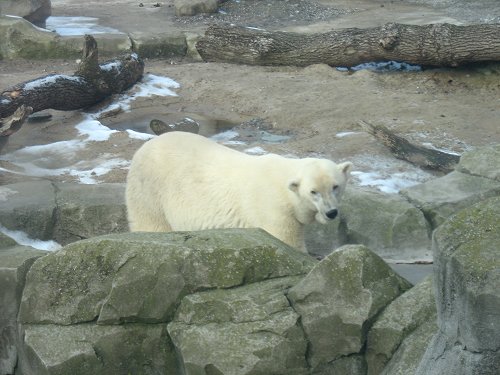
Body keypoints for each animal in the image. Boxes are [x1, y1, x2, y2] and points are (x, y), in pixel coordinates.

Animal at [125, 131, 352, 253]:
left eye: (335, 186)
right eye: (313, 191)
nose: (331, 212)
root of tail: (143, 148)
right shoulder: (274, 210)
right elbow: (287, 242)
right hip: (149, 190)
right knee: (151, 224)